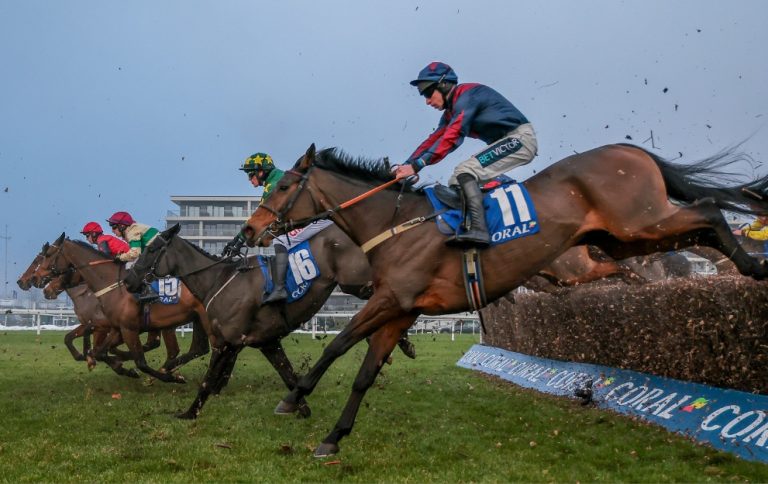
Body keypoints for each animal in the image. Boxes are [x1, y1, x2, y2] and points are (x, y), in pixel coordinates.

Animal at [34, 236, 210, 384]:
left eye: (48, 254)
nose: (44, 287)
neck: (112, 285)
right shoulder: (116, 327)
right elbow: (90, 347)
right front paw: (107, 362)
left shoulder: (121, 327)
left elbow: (137, 361)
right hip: (194, 319)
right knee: (197, 349)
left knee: (178, 350)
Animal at [123, 221, 378, 418]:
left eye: (151, 249)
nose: (128, 280)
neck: (218, 280)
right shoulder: (268, 342)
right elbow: (289, 376)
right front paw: (300, 408)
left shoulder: (227, 342)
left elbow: (208, 380)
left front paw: (189, 413)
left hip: (355, 282)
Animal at [243, 142, 768, 456]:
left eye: (283, 185)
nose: (250, 230)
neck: (395, 224)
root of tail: (629, 148)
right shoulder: (403, 310)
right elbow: (364, 374)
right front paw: (334, 437)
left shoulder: (390, 300)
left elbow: (336, 346)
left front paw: (294, 397)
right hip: (624, 239)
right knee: (679, 240)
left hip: (642, 220)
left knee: (709, 210)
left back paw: (753, 267)